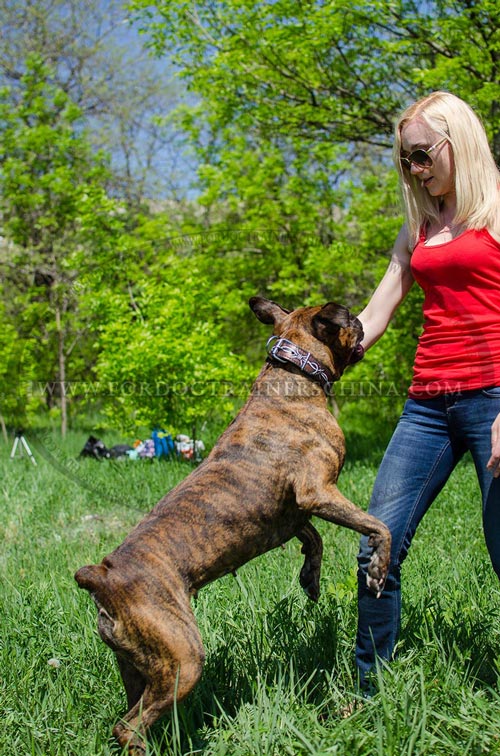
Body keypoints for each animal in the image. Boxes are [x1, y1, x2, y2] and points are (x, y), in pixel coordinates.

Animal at [75, 298, 390, 752]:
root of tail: (103, 577)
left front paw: (310, 578)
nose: (363, 321)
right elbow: (376, 526)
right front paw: (379, 567)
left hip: (137, 666)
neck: (295, 373)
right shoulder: (317, 493)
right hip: (183, 660)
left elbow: (313, 538)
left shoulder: (292, 515)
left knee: (130, 715)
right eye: (348, 319)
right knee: (129, 726)